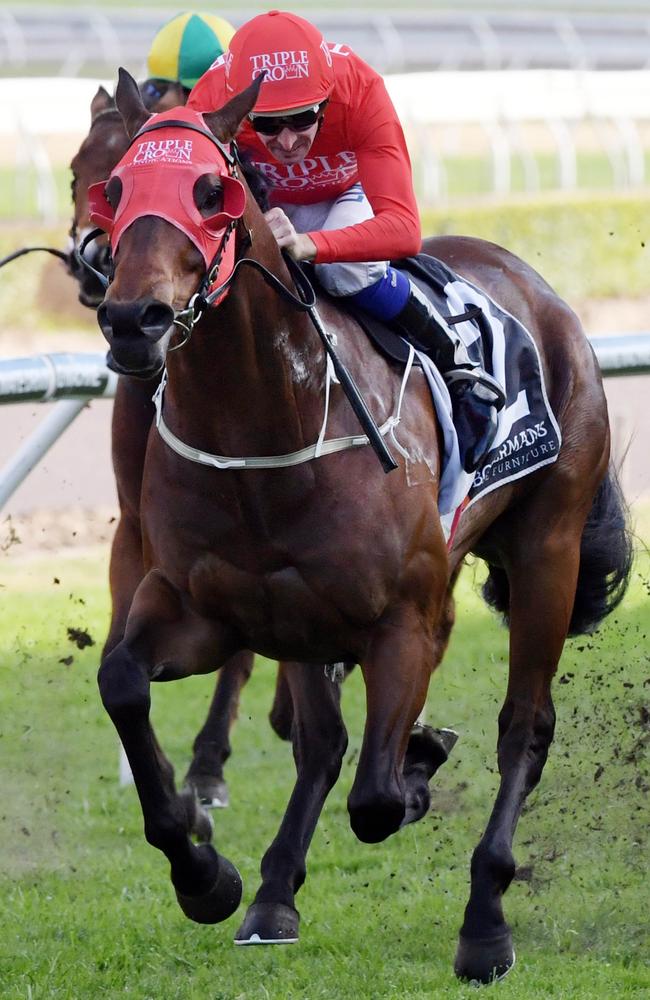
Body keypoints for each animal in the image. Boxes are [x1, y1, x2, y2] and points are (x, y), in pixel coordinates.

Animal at [93, 72, 632, 984]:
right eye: (117, 189)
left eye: (210, 192)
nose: (133, 320)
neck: (268, 423)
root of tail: (540, 289)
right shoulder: (206, 609)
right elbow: (123, 684)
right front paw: (205, 871)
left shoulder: (410, 617)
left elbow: (379, 796)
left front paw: (417, 767)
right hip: (306, 618)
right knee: (322, 742)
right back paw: (273, 895)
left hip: (547, 550)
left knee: (522, 728)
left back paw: (484, 924)